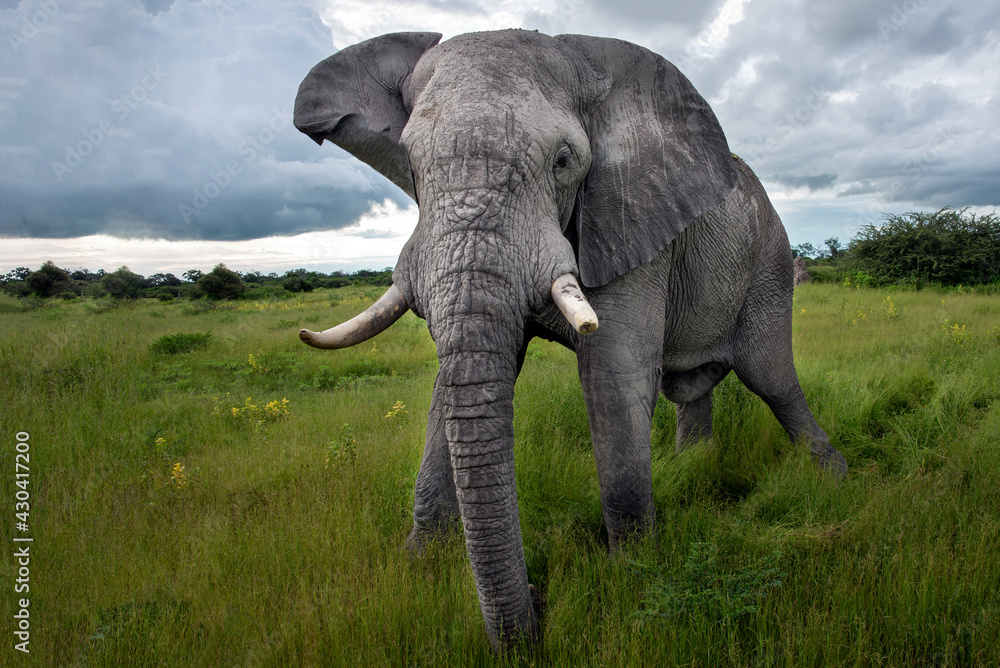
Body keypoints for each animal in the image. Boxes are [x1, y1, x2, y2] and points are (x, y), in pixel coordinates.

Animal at [293, 29, 848, 652]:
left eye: (564, 162)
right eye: (410, 165)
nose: (540, 604)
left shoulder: (628, 218)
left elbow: (612, 375)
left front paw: (634, 576)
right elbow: (456, 386)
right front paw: (417, 566)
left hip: (770, 262)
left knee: (772, 379)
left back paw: (835, 479)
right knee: (692, 388)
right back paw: (692, 466)